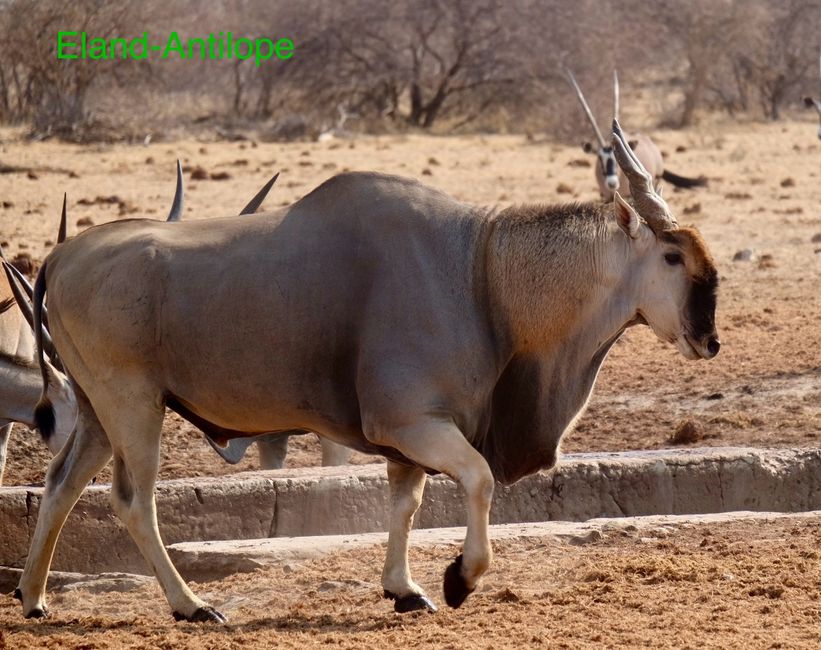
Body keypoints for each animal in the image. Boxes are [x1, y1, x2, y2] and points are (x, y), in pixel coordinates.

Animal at [14, 119, 716, 620]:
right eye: (672, 255)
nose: (708, 339)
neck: (480, 269)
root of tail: (61, 257)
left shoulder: (409, 440)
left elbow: (406, 503)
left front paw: (404, 590)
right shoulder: (413, 424)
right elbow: (480, 480)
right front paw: (458, 579)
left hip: (99, 413)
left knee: (59, 485)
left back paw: (34, 598)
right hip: (135, 406)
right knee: (133, 501)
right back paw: (191, 605)